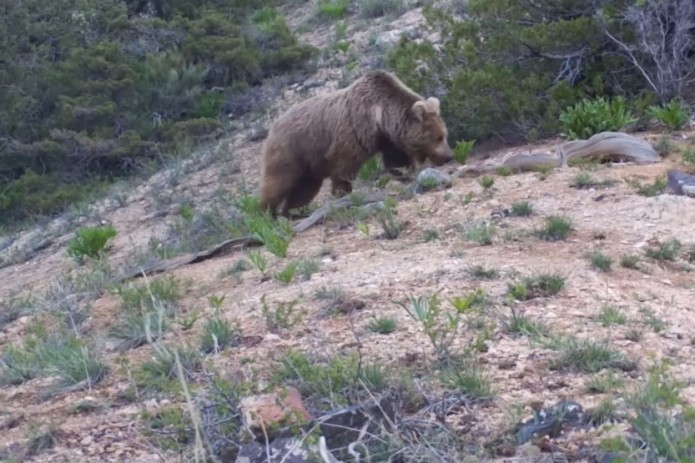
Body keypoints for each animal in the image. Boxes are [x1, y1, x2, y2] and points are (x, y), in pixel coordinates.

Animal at [258, 70, 454, 218]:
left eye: (445, 134)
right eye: (438, 137)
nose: (449, 156)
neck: (380, 118)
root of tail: (273, 126)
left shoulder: (388, 140)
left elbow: (396, 160)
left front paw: (404, 174)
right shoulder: (353, 130)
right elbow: (343, 165)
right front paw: (342, 194)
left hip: (309, 165)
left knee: (305, 188)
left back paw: (293, 212)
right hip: (291, 150)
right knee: (278, 181)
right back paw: (267, 214)